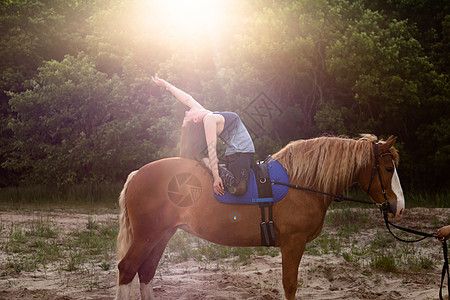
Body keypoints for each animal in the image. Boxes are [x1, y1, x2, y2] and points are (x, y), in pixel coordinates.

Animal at [115, 135, 404, 298]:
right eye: (388, 168)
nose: (398, 207)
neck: (299, 183)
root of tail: (138, 174)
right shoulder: (293, 244)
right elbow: (290, 285)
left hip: (162, 235)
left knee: (146, 272)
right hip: (148, 236)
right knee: (127, 269)